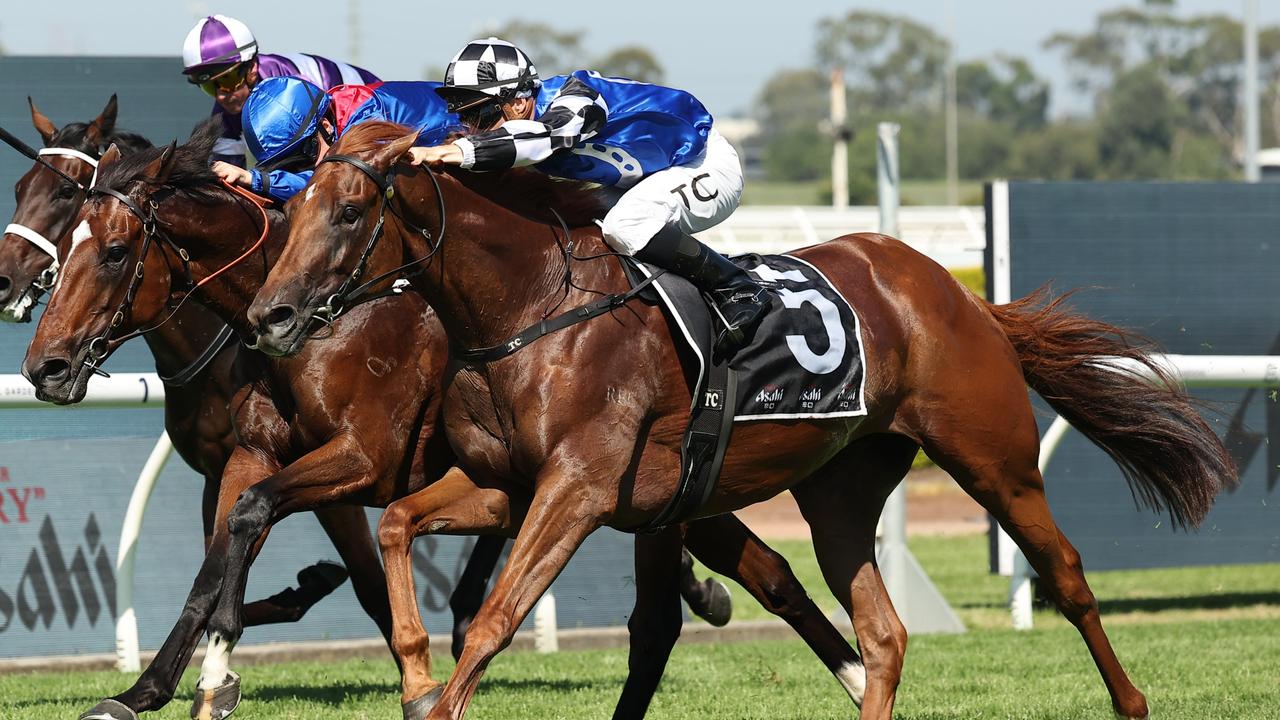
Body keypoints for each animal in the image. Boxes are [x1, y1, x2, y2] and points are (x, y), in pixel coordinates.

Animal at [0, 96, 376, 627]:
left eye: (64, 193)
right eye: (20, 187)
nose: (3, 279)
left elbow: (372, 586)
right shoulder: (218, 475)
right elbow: (211, 582)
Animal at [24, 121, 870, 717]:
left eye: (113, 251)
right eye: (60, 241)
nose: (44, 366)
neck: (331, 323)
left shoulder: (360, 459)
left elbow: (267, 534)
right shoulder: (252, 452)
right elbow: (220, 556)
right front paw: (163, 684)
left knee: (757, 575)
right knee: (761, 570)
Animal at [244, 120, 1233, 712]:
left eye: (350, 210)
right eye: (293, 208)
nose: (270, 316)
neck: (532, 309)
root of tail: (959, 295)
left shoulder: (578, 490)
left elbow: (494, 621)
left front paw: (436, 689)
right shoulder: (510, 486)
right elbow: (400, 525)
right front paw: (413, 670)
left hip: (994, 458)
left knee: (1065, 575)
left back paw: (1131, 701)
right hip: (841, 491)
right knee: (883, 634)